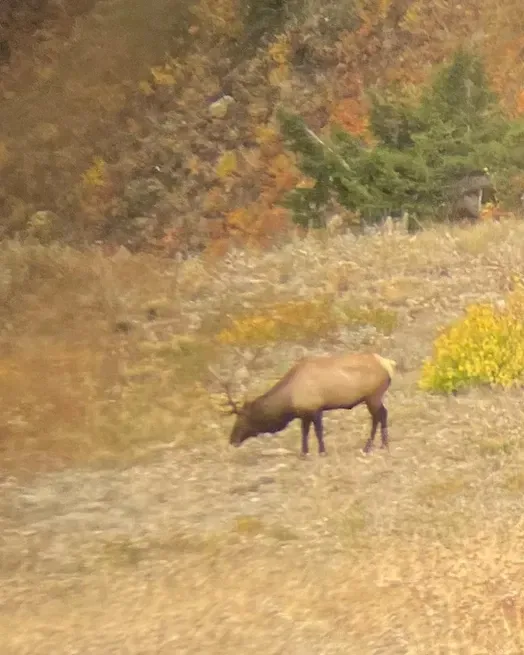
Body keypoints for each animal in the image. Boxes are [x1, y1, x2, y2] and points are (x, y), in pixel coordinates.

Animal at [211, 352, 396, 457]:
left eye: (242, 419)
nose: (232, 440)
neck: (288, 400)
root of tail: (388, 363)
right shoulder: (304, 413)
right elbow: (305, 432)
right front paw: (304, 452)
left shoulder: (315, 409)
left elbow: (318, 432)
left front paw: (322, 451)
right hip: (372, 397)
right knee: (382, 414)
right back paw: (379, 444)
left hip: (372, 396)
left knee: (380, 415)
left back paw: (372, 446)